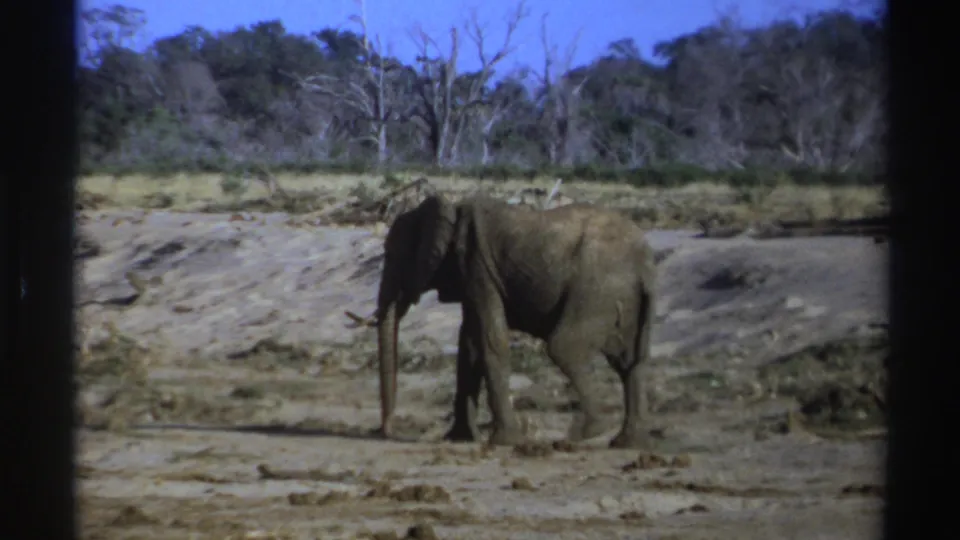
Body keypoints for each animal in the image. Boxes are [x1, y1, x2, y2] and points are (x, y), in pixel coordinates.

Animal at [372, 193, 657, 449]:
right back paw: (627, 443)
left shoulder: (477, 265)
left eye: (392, 255)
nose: (392, 430)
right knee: (631, 364)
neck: (451, 208)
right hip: (623, 301)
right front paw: (459, 438)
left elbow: (491, 341)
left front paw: (505, 441)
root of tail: (645, 263)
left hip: (596, 291)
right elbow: (469, 347)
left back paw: (585, 433)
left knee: (564, 348)